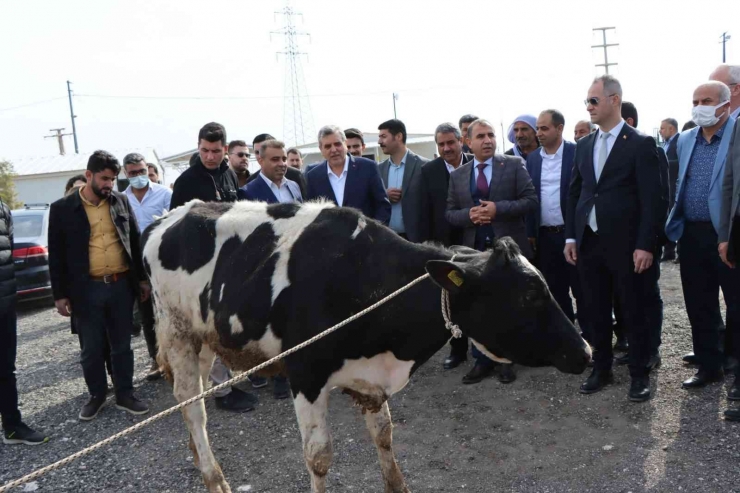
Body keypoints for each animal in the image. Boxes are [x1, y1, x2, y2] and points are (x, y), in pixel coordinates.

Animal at [143, 198, 588, 492]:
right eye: (530, 293)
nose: (585, 351)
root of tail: (168, 215)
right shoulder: (305, 374)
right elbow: (318, 456)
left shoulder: (371, 380)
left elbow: (385, 436)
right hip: (177, 332)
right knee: (193, 410)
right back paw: (214, 478)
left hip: (204, 339)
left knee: (192, 403)